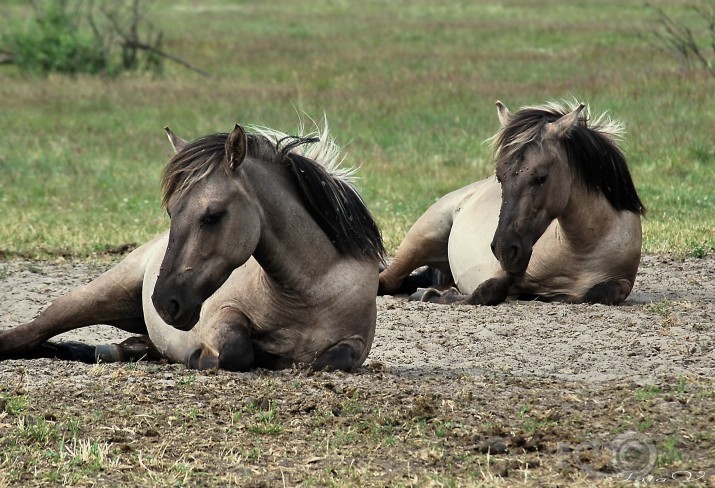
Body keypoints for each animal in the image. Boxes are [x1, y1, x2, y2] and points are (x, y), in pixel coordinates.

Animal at [0, 120, 386, 372]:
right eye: (172, 211)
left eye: (212, 215)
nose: (164, 303)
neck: (308, 292)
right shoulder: (223, 315)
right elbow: (236, 349)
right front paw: (205, 357)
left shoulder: (355, 343)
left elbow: (332, 361)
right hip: (101, 294)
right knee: (36, 328)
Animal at [380, 99, 648, 304]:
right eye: (500, 176)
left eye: (541, 177)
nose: (504, 248)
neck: (578, 249)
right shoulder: (503, 271)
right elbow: (487, 291)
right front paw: (437, 296)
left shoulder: (621, 281)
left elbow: (600, 292)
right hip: (421, 238)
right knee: (388, 281)